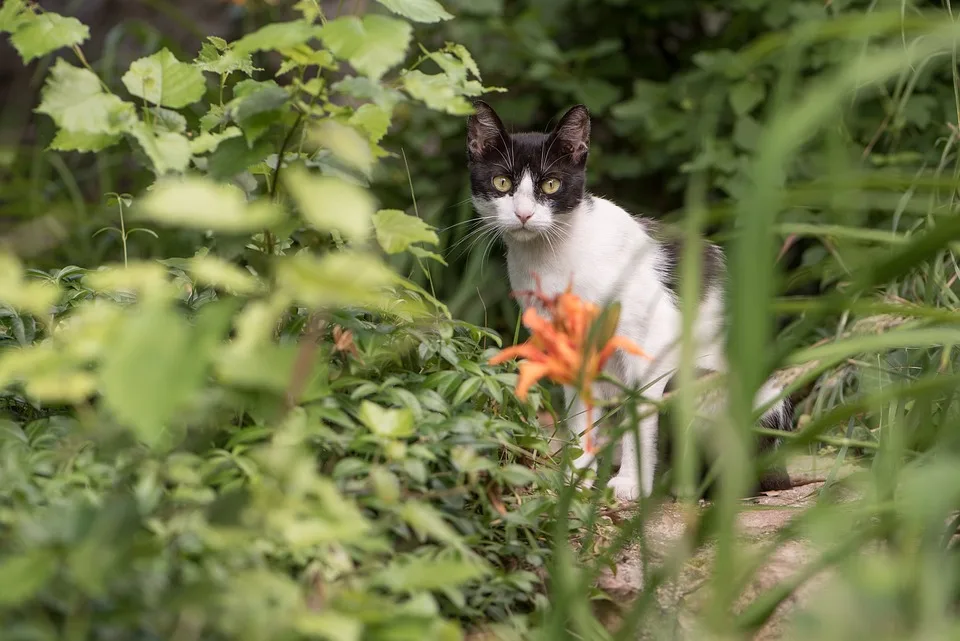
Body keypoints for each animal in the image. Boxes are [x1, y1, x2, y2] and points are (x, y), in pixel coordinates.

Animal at [466, 100, 796, 500]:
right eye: (502, 183)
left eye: (550, 184)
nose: (524, 214)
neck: (553, 259)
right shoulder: (568, 349)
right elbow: (579, 414)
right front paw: (576, 475)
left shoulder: (650, 341)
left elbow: (641, 415)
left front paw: (630, 485)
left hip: (709, 381)